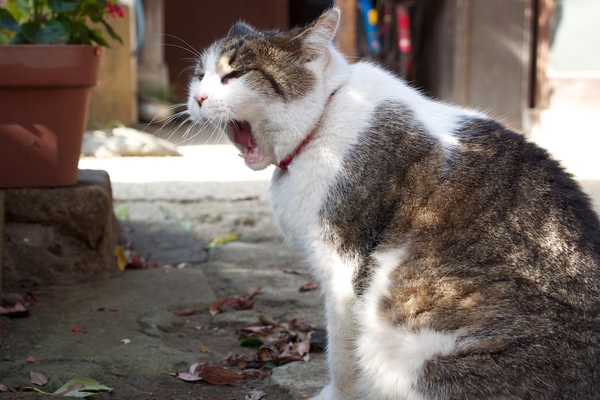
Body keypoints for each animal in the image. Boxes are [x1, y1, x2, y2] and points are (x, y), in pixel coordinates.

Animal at [185, 7, 596, 400]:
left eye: (236, 74)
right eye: (200, 75)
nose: (198, 97)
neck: (325, 120)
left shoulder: (344, 269)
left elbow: (343, 355)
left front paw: (336, 395)